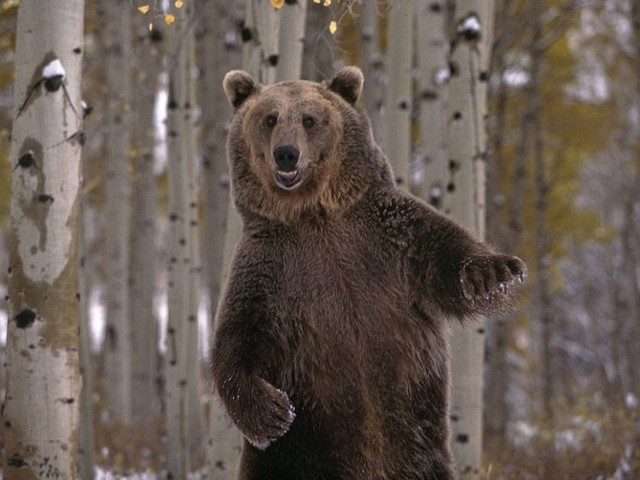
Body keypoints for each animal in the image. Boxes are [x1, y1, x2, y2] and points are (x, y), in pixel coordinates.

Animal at [211, 66, 526, 480]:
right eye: (270, 118)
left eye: (310, 119)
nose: (286, 154)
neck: (314, 216)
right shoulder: (269, 271)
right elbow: (237, 339)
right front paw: (273, 413)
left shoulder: (389, 239)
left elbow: (444, 250)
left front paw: (494, 273)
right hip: (294, 456)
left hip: (417, 445)